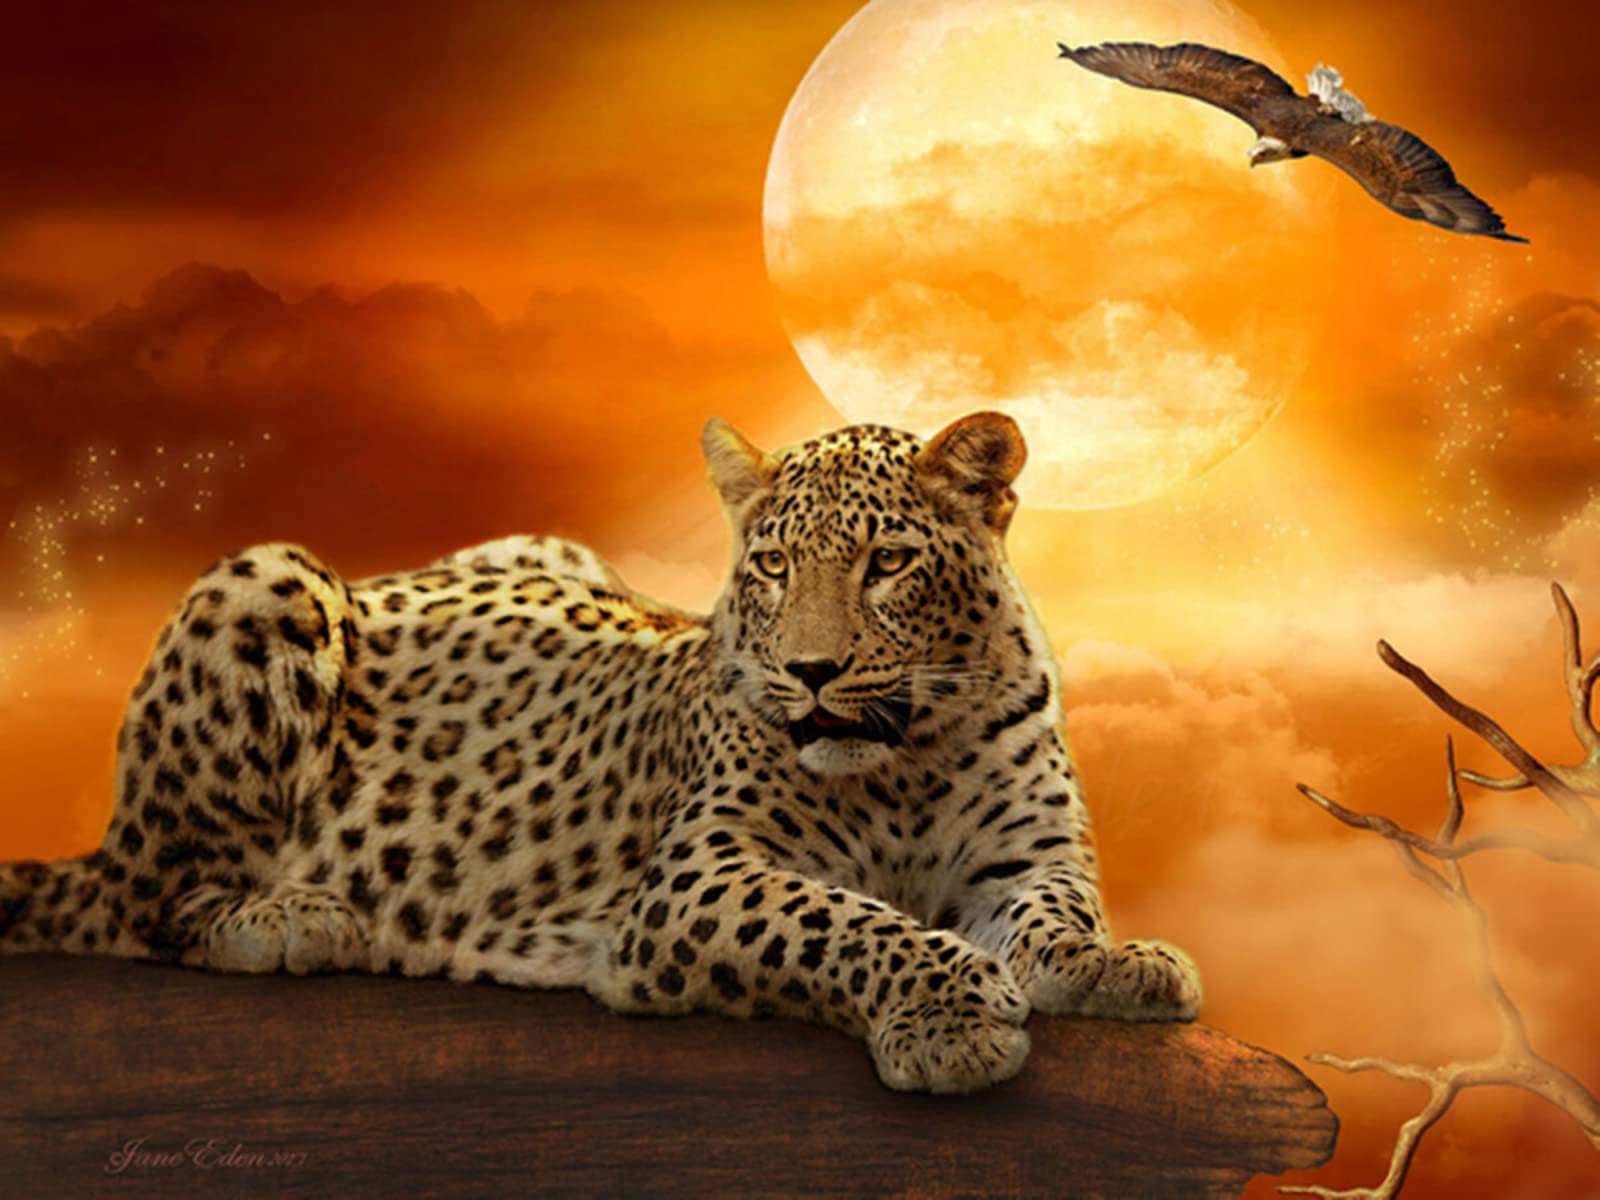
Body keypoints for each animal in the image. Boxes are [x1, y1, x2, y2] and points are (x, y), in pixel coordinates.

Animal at [0, 412, 1200, 1093]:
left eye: (888, 562)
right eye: (772, 566)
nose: (810, 672)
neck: (903, 758)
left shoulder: (1021, 860)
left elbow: (1053, 915)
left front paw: (1114, 963)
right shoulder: (699, 878)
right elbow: (841, 917)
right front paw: (949, 1015)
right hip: (266, 580)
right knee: (148, 898)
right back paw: (292, 917)